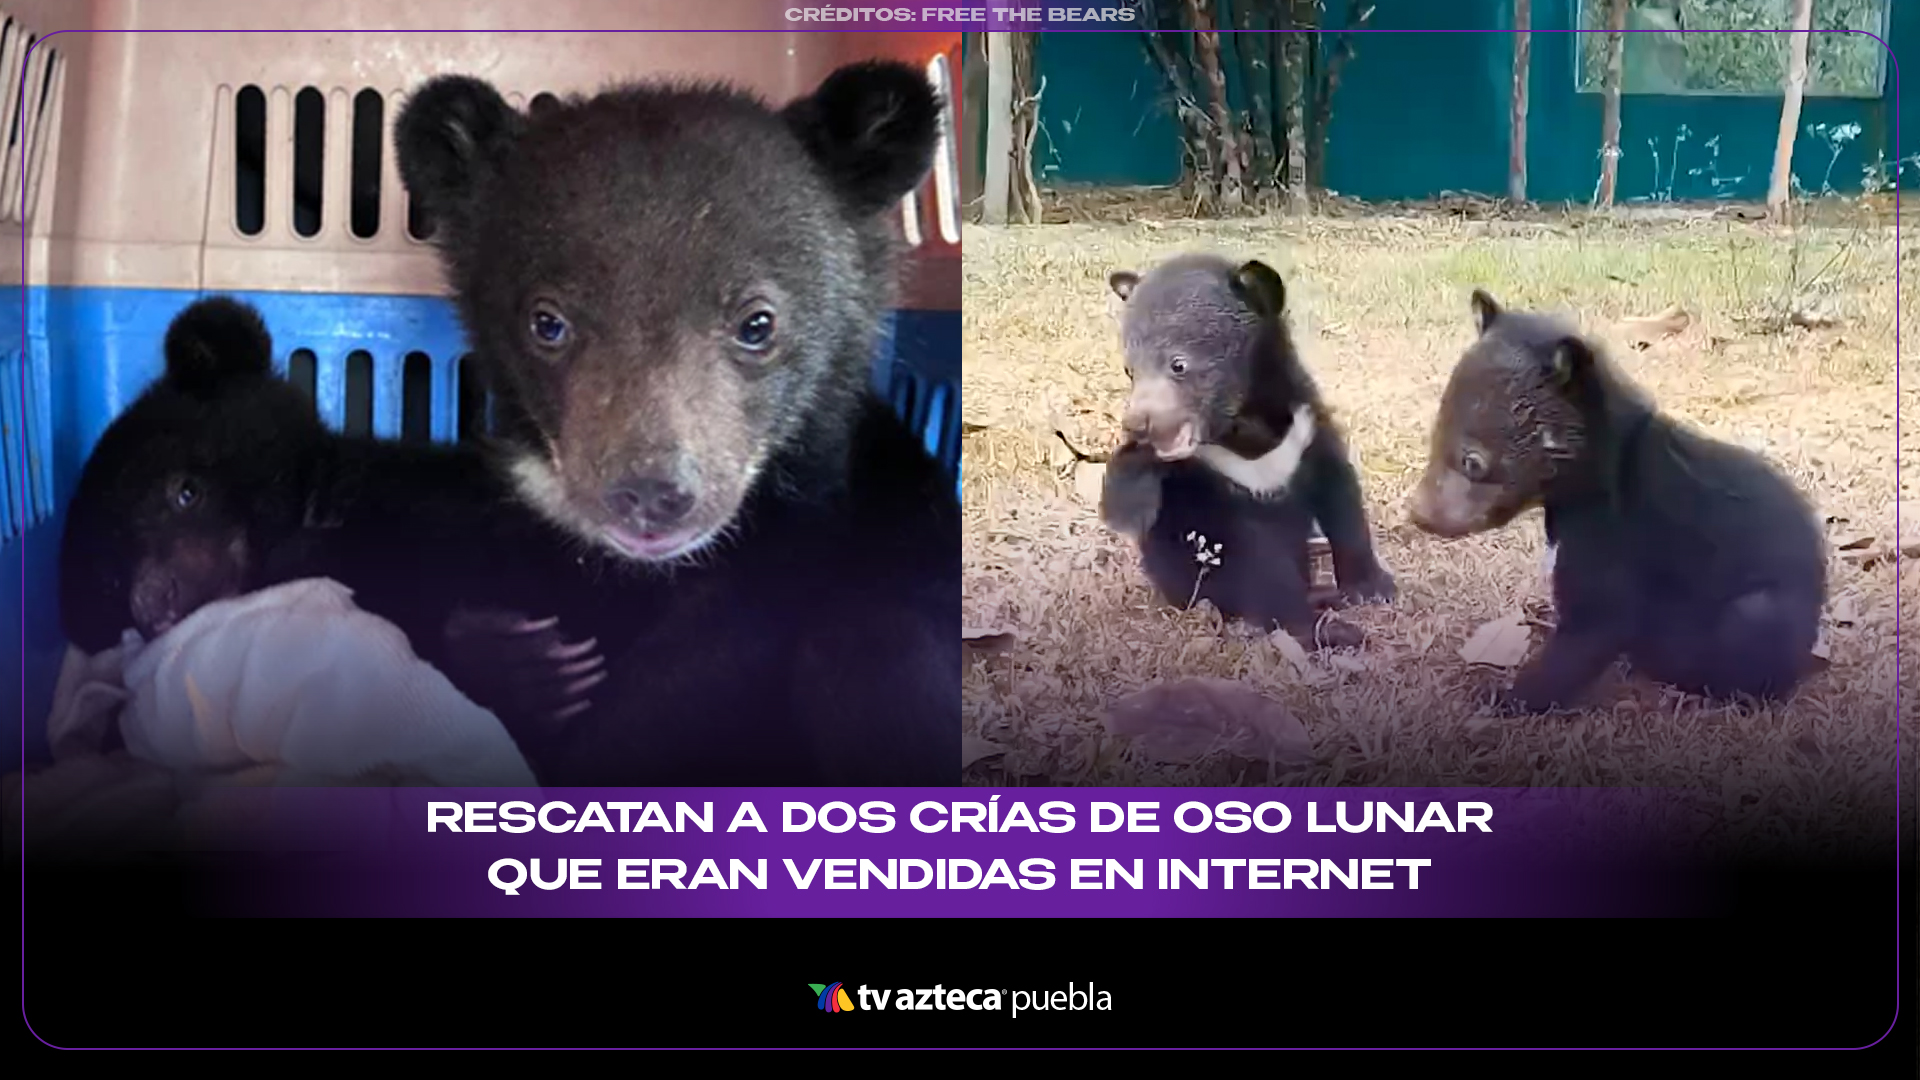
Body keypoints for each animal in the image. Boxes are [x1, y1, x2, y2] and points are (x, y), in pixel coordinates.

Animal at [1096, 253, 1396, 650]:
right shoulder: (1204, 487)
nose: (1136, 424)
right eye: (1130, 370)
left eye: (1179, 364)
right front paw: (1319, 627)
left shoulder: (1306, 429)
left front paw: (1373, 588)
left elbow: (1340, 495)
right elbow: (1250, 559)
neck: (1247, 431)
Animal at [1406, 289, 1827, 712]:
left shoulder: (1616, 541)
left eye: (1473, 461)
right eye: (1434, 436)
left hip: (1758, 612)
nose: (1417, 513)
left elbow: (1592, 628)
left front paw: (1503, 700)